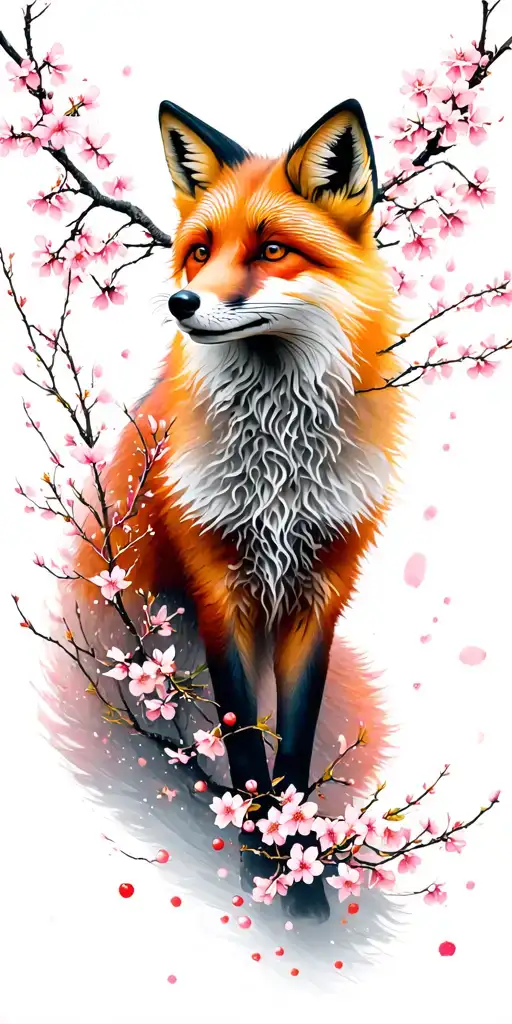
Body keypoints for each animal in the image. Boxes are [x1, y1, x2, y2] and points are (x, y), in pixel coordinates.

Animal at [62, 97, 405, 922]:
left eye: (273, 250)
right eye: (198, 251)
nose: (182, 302)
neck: (278, 466)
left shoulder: (320, 593)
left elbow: (294, 744)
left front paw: (302, 878)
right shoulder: (221, 590)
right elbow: (246, 744)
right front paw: (260, 866)